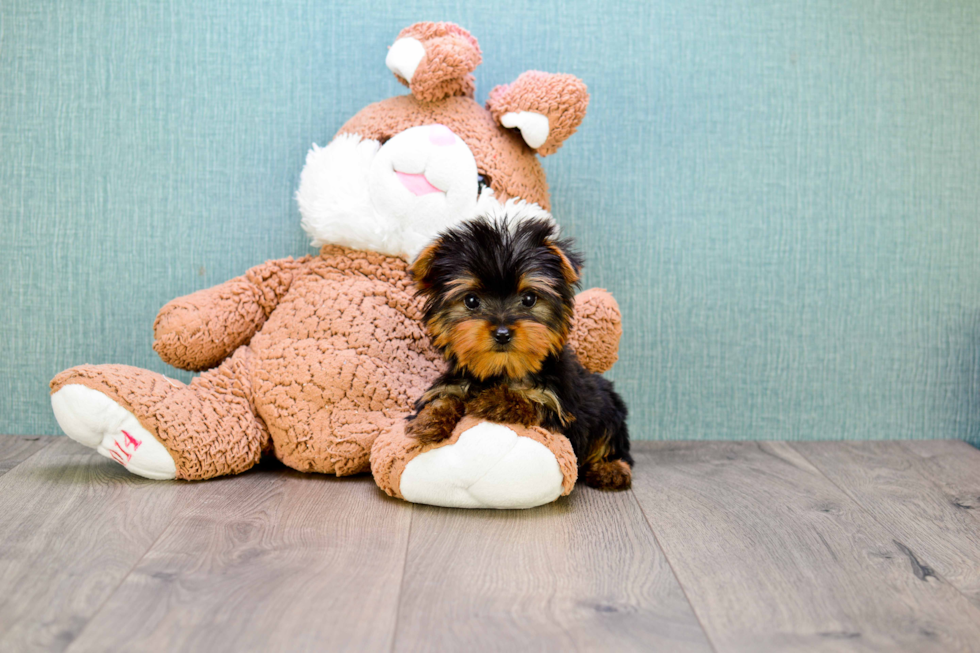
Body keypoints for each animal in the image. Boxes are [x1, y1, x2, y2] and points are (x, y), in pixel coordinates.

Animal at [402, 216, 632, 492]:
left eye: (529, 298)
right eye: (471, 301)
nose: (502, 333)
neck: (503, 370)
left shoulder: (559, 409)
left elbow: (530, 401)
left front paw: (492, 400)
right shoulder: (454, 383)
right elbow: (444, 397)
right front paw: (429, 421)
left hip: (608, 407)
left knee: (613, 442)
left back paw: (611, 470)